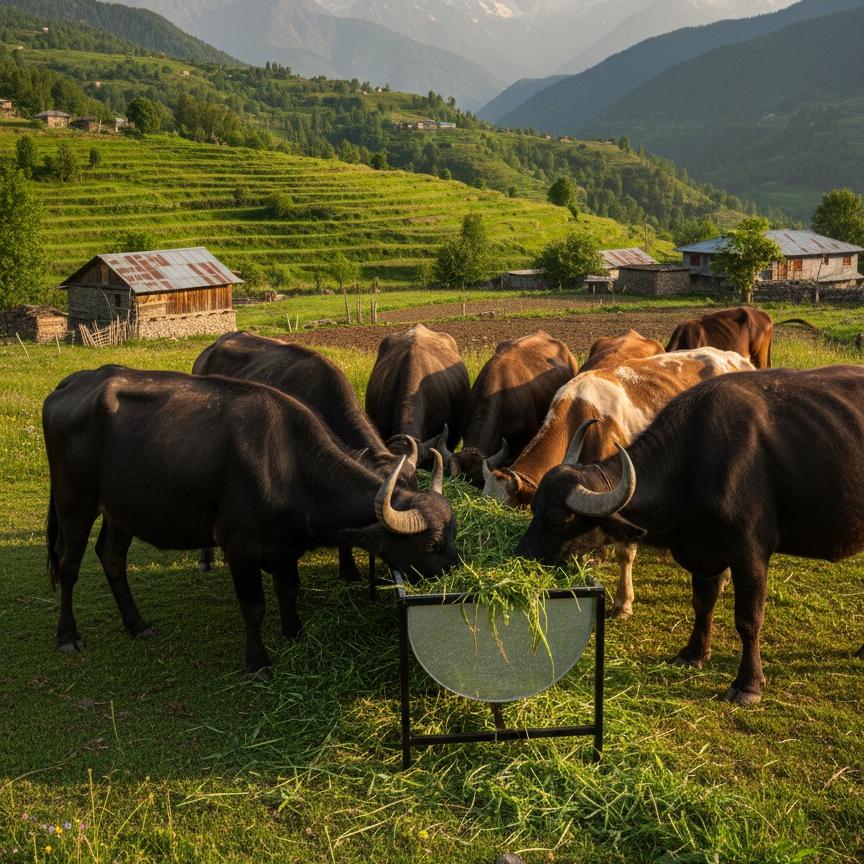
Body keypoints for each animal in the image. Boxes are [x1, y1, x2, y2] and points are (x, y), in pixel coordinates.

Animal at [43, 366, 457, 675]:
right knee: (68, 565)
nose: (454, 573)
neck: (289, 465)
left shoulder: (285, 547)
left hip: (120, 510)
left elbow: (287, 589)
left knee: (111, 556)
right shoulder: (239, 547)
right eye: (431, 544)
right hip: (74, 502)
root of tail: (73, 384)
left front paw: (295, 632)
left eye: (453, 536)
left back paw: (136, 624)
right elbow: (254, 606)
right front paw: (257, 661)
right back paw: (67, 636)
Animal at [516, 365, 864, 705]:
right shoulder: (702, 550)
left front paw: (748, 684)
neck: (691, 463)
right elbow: (702, 603)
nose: (520, 556)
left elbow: (748, 618)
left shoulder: (750, 551)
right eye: (534, 506)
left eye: (558, 520)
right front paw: (694, 653)